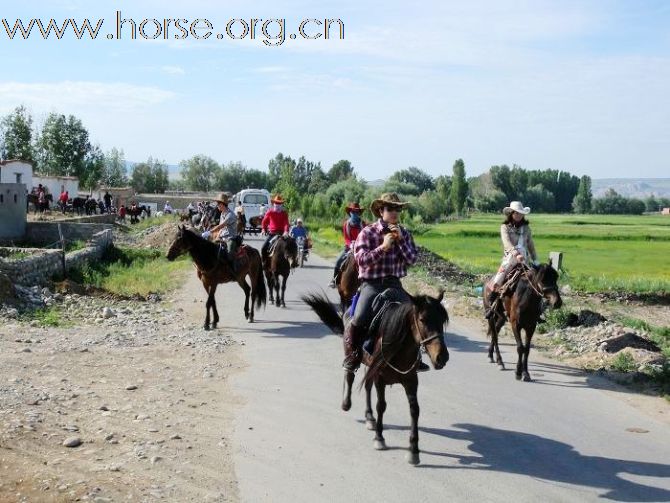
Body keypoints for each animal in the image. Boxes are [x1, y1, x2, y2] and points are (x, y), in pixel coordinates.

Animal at [304, 292, 452, 468]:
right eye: (422, 319)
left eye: (442, 320)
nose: (442, 357)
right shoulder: (379, 378)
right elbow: (381, 406)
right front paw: (379, 438)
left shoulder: (411, 380)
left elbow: (414, 410)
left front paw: (413, 450)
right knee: (351, 375)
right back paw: (347, 403)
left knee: (367, 387)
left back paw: (369, 417)